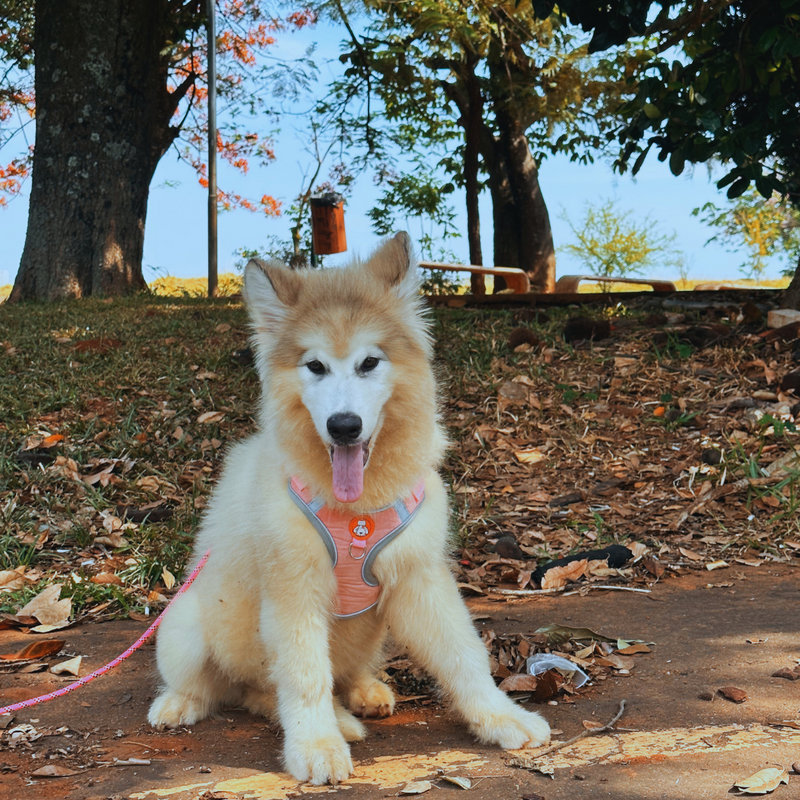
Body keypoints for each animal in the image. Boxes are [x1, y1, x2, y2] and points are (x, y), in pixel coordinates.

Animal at [148, 231, 552, 780]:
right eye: (315, 366)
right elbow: (304, 677)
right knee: (241, 689)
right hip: (187, 624)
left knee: (306, 682)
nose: (343, 426)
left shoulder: (420, 579)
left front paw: (499, 716)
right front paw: (316, 745)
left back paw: (363, 694)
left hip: (370, 632)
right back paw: (183, 703)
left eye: (369, 363)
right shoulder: (294, 591)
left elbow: (464, 655)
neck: (357, 508)